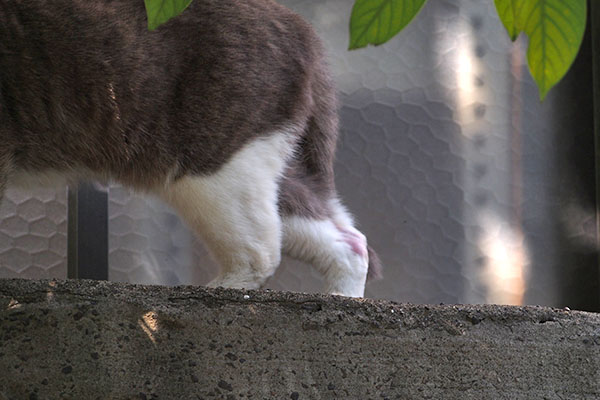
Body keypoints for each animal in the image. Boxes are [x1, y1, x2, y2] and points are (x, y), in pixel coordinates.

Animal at [0, 0, 382, 296]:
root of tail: (304, 30)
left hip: (211, 158)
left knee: (259, 250)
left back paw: (216, 289)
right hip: (260, 155)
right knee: (347, 240)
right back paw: (341, 298)